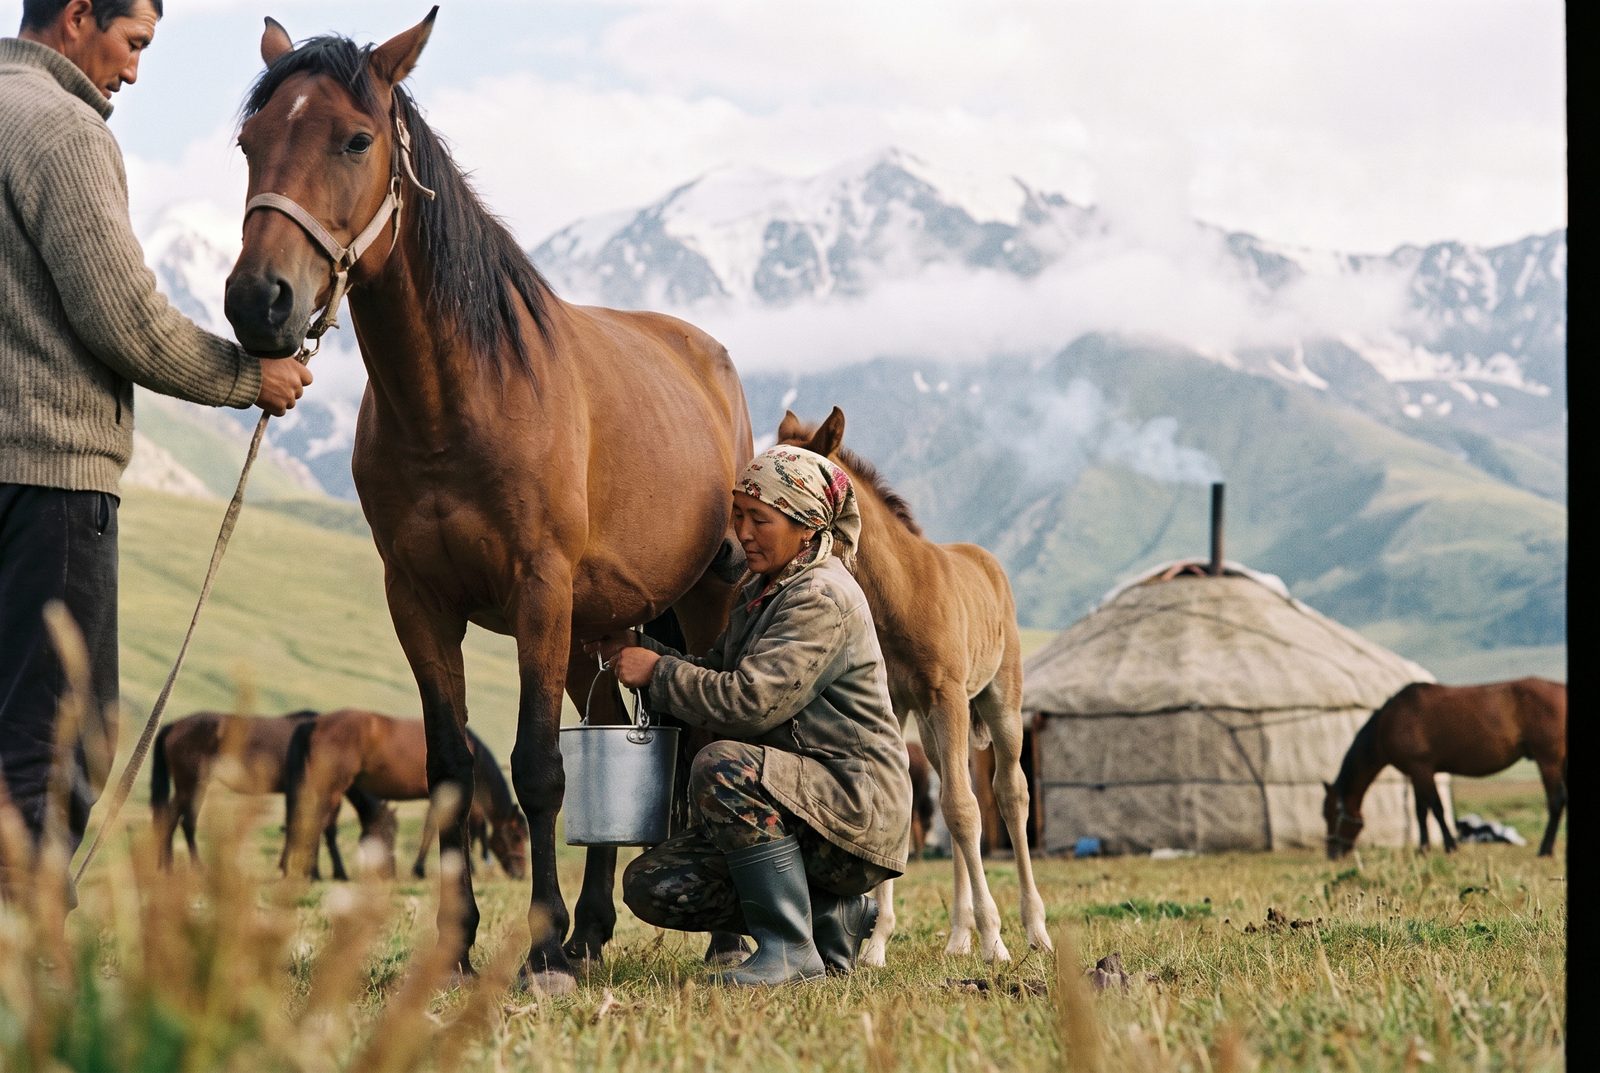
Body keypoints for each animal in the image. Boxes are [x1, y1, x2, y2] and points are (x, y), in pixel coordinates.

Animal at [150, 710, 397, 879]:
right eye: (388, 830)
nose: (390, 872)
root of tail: (174, 725)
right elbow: (320, 827)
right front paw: (324, 872)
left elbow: (299, 824)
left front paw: (294, 868)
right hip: (190, 784)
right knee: (181, 821)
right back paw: (193, 867)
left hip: (192, 785)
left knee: (174, 820)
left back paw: (168, 866)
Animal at [282, 708, 530, 882]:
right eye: (517, 837)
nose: (520, 874)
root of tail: (315, 722)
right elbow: (436, 827)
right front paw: (421, 869)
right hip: (332, 788)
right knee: (316, 823)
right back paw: (315, 873)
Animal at [777, 407, 1051, 964]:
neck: (899, 593)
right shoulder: (896, 702)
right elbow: (906, 807)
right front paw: (877, 945)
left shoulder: (948, 697)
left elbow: (967, 811)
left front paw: (995, 941)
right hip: (929, 724)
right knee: (953, 790)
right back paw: (958, 935)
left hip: (998, 701)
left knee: (1007, 794)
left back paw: (1033, 929)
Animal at [1323, 678, 1567, 858]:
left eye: (1331, 813)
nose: (1333, 853)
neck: (1389, 722)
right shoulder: (1415, 772)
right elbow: (1420, 811)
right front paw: (1423, 849)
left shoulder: (1422, 768)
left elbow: (1436, 808)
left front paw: (1450, 846)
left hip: (1548, 760)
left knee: (1555, 801)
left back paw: (1545, 850)